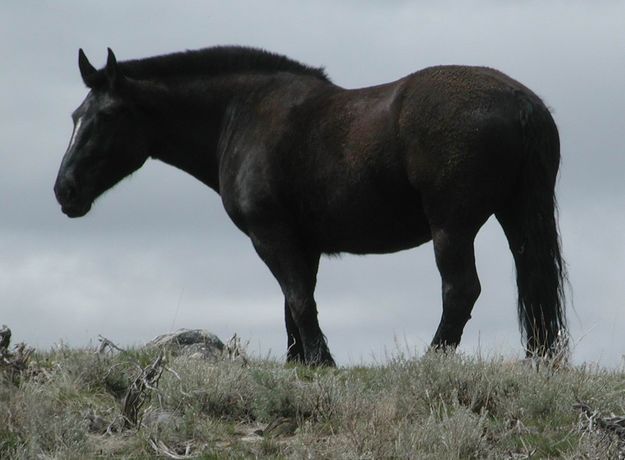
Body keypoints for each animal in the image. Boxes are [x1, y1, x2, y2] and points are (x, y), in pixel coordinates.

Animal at [56, 46, 568, 366]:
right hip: (517, 217)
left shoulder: (271, 236)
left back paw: (430, 360)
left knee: (460, 291)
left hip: (452, 227)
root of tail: (520, 101)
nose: (65, 190)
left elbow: (300, 300)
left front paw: (322, 362)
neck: (240, 113)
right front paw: (297, 364)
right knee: (533, 286)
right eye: (76, 116)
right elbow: (292, 305)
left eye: (107, 115)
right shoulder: (305, 245)